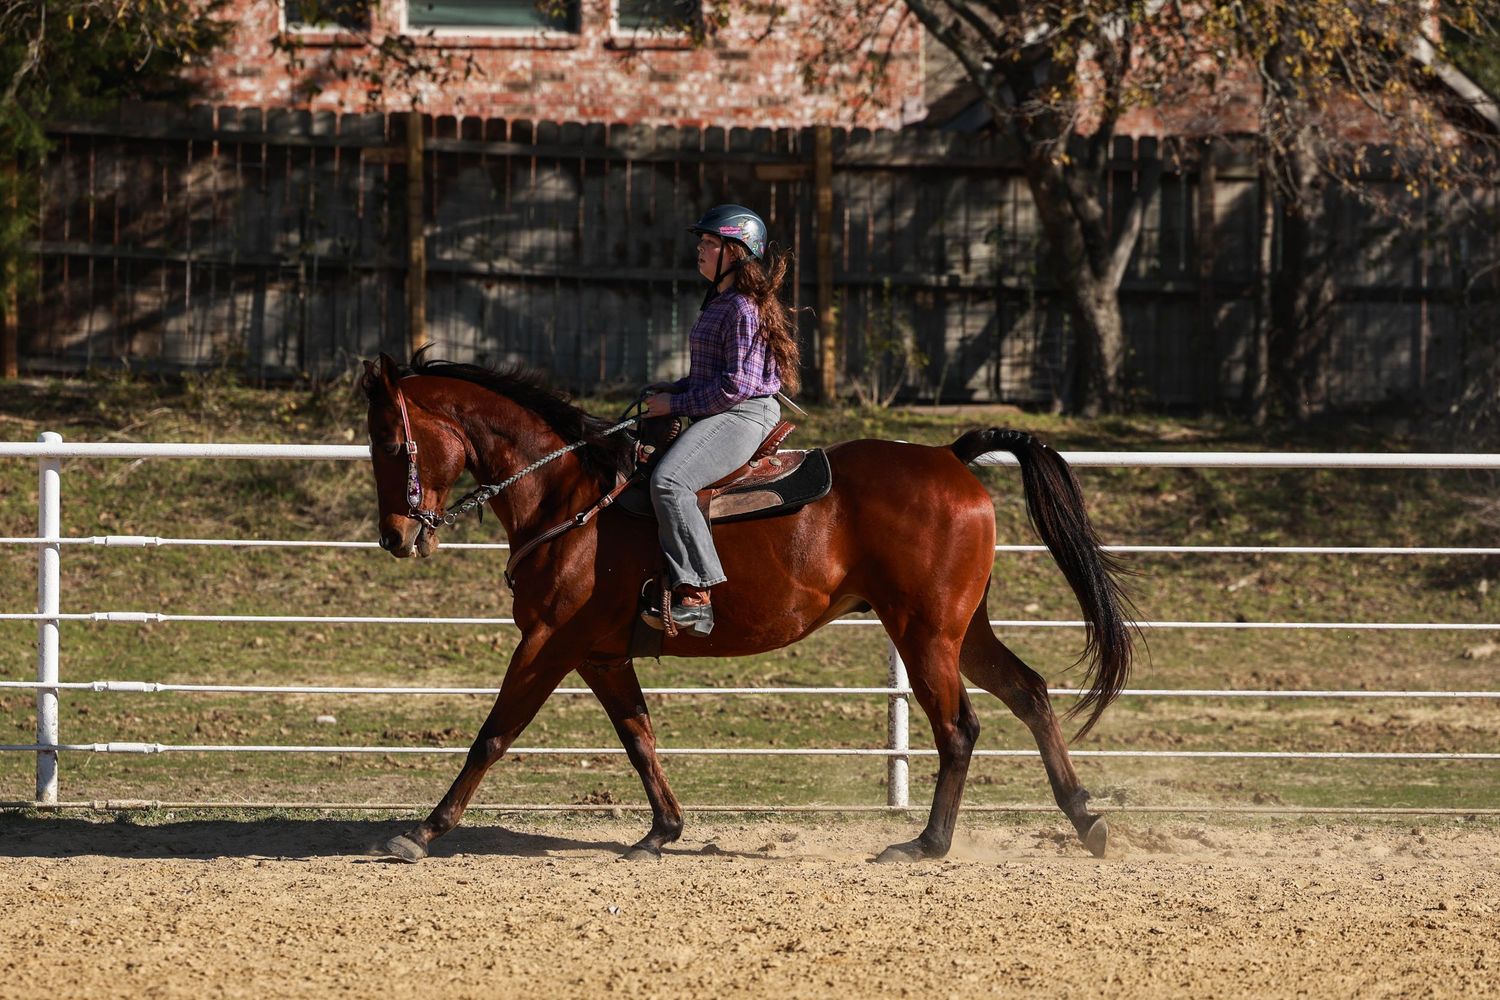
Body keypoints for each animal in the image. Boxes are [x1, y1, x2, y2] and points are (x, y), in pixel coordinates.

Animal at [360, 351, 1135, 863]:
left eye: (392, 441)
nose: (395, 537)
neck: (568, 498)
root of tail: (951, 454)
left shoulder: (549, 642)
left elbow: (493, 734)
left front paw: (423, 831)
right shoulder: (602, 655)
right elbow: (639, 738)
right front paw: (662, 833)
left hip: (925, 635)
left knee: (960, 728)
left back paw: (927, 844)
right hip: (961, 630)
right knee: (1029, 694)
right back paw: (1085, 819)